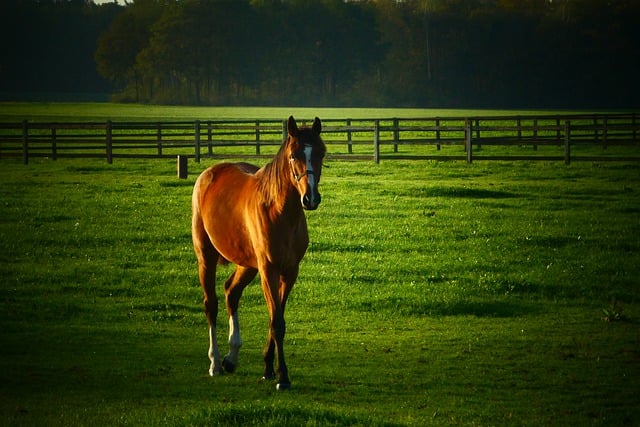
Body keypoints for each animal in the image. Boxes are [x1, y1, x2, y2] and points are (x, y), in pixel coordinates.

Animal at [190, 117, 324, 392]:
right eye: (294, 155)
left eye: (320, 153)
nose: (310, 198)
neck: (280, 212)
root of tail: (209, 174)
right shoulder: (268, 270)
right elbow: (277, 323)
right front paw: (283, 377)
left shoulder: (289, 272)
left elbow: (277, 318)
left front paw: (268, 369)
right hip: (206, 257)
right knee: (211, 304)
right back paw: (215, 363)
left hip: (247, 264)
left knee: (231, 292)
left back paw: (231, 357)